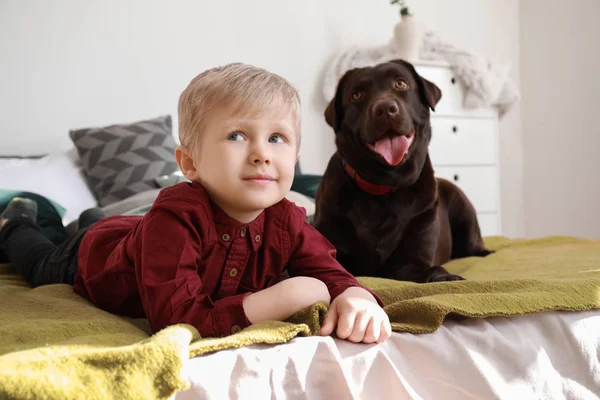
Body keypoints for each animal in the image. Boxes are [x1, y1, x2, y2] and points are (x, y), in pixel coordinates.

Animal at [312, 60, 490, 284]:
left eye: (401, 83)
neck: (384, 187)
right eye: (356, 95)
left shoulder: (412, 259)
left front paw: (446, 277)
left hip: (463, 207)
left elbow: (429, 269)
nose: (385, 108)